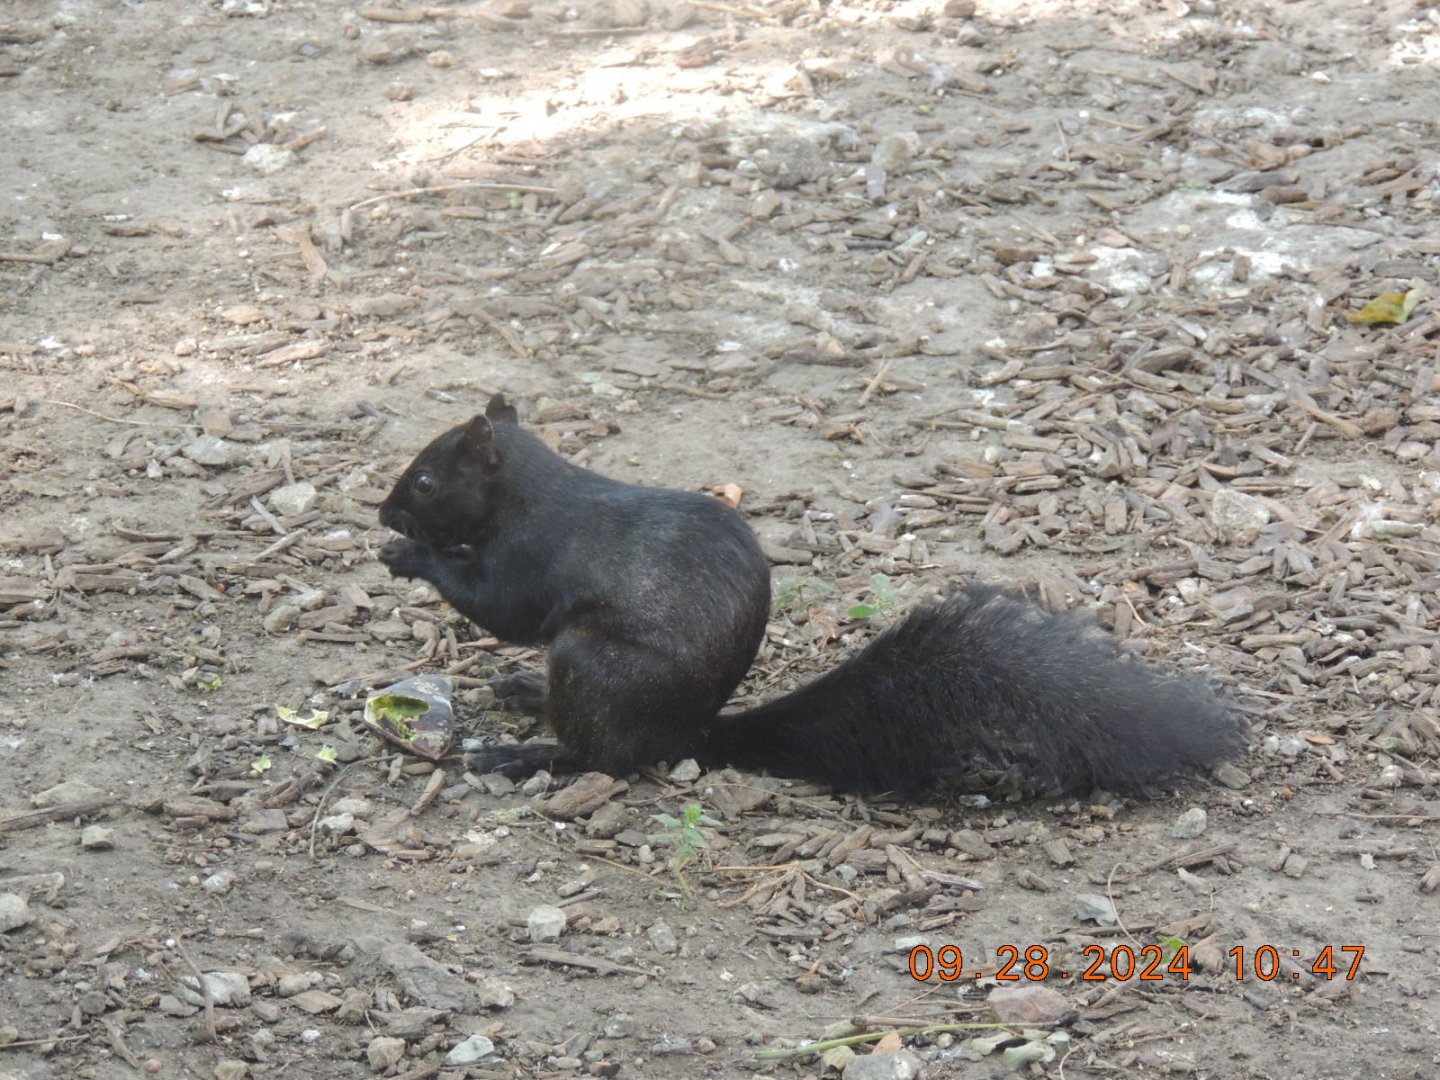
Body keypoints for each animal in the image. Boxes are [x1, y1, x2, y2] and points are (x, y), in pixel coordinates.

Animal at [377, 393, 1245, 796]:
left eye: (424, 479)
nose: (383, 512)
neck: (529, 494)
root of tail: (689, 732)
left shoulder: (529, 558)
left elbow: (497, 605)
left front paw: (409, 554)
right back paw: (526, 695)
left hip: (592, 666)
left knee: (602, 758)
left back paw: (524, 751)